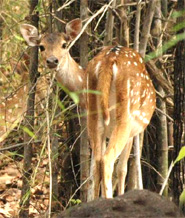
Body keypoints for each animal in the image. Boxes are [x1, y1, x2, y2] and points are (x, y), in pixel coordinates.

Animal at [19, 18, 156, 199]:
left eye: (64, 44)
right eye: (41, 46)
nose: (52, 60)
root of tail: (110, 60)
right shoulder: (134, 131)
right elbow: (122, 169)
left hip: (95, 117)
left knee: (97, 162)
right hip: (126, 115)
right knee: (108, 161)